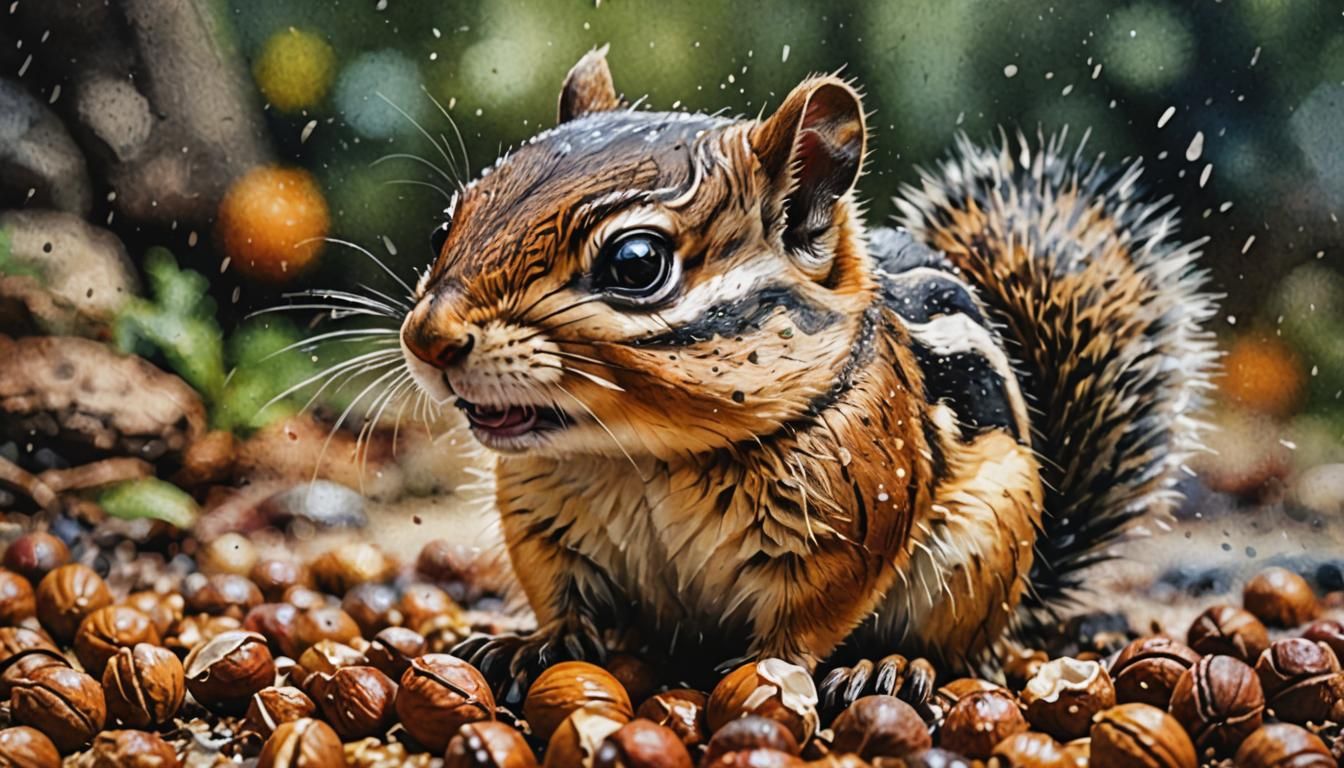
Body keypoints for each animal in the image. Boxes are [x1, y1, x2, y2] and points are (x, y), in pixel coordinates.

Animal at [400, 48, 1219, 708]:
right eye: (446, 226)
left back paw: (895, 667)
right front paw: (531, 645)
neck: (645, 457)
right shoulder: (543, 523)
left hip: (978, 557)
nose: (428, 339)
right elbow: (564, 600)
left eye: (635, 263)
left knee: (960, 651)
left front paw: (771, 675)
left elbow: (806, 624)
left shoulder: (849, 524)